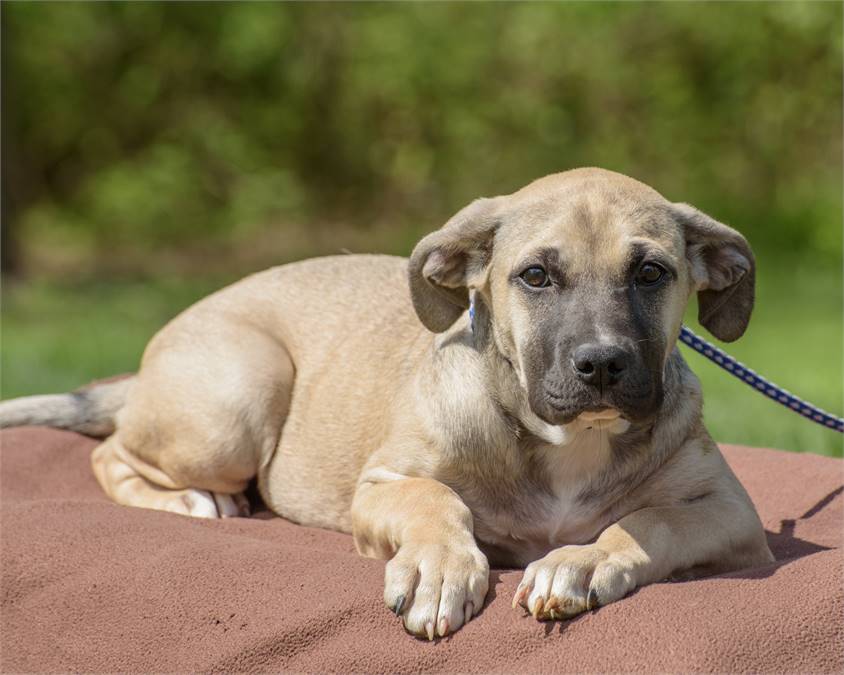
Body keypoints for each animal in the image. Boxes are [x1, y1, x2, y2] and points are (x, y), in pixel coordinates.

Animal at [0, 169, 776, 640]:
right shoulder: (382, 485)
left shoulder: (730, 513)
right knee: (112, 451)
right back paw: (190, 501)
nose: (604, 364)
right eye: (535, 276)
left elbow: (645, 522)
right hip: (238, 400)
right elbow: (436, 501)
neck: (563, 442)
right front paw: (439, 568)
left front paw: (578, 563)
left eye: (651, 273)